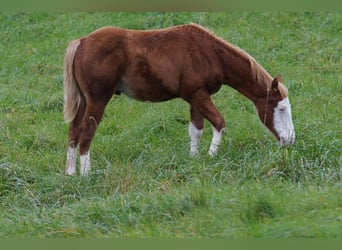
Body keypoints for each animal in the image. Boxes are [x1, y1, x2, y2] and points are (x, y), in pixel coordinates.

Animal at [62, 23, 296, 176]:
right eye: (281, 108)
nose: (290, 140)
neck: (210, 52)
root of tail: (81, 42)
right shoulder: (198, 94)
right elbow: (219, 122)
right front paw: (212, 156)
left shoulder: (196, 97)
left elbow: (196, 130)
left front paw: (194, 159)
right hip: (98, 100)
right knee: (86, 131)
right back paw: (86, 174)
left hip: (84, 100)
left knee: (74, 130)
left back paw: (70, 172)